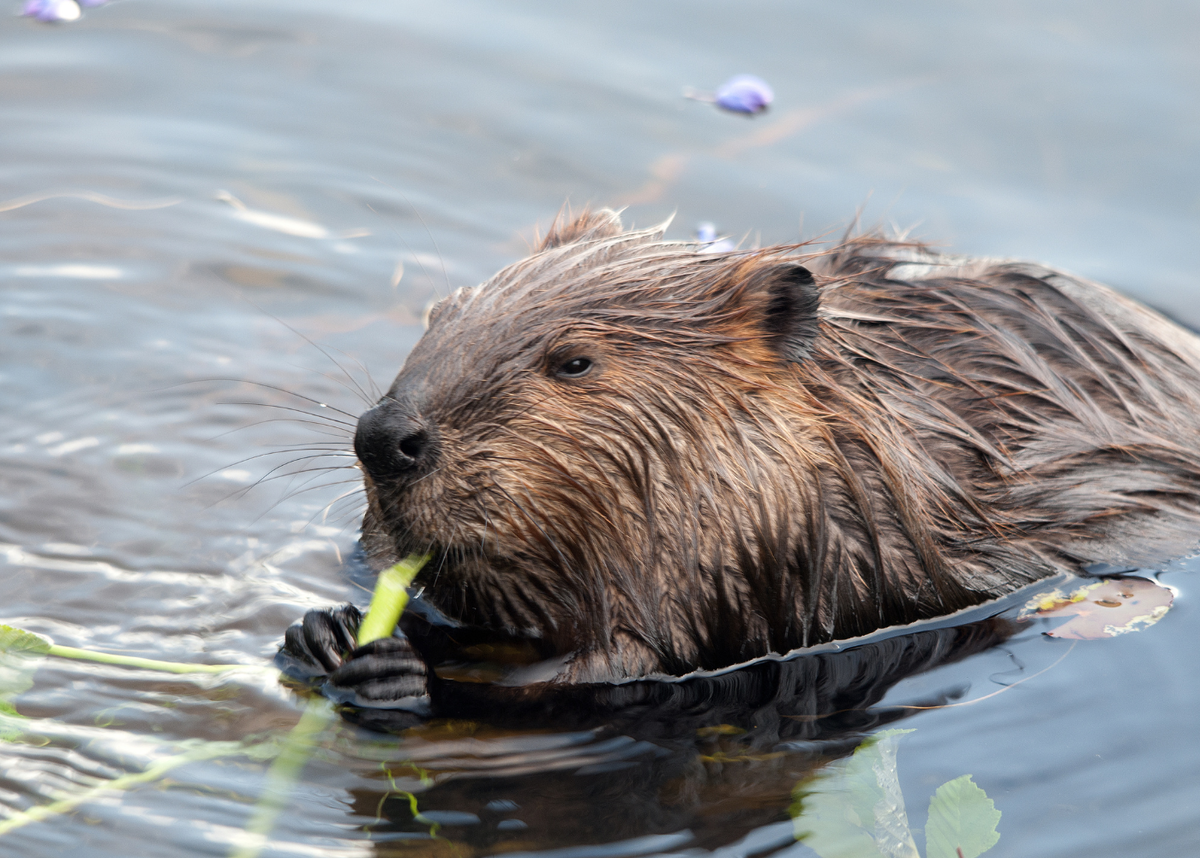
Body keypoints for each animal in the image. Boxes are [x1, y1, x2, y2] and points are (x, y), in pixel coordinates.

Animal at [278, 207, 1200, 705]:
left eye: (574, 361)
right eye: (443, 312)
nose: (384, 438)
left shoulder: (791, 558)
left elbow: (616, 668)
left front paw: (394, 668)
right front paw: (324, 630)